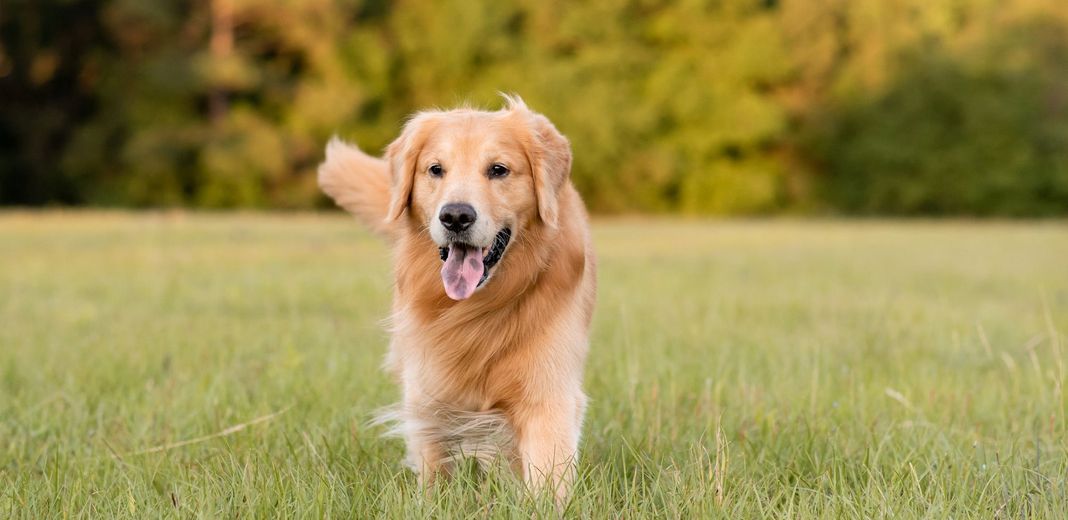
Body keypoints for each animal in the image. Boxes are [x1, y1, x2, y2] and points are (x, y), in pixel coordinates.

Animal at [316, 95, 602, 501]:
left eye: (498, 169)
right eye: (436, 169)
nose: (455, 216)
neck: (476, 312)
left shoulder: (549, 394)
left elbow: (546, 479)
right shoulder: (428, 389)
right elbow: (435, 472)